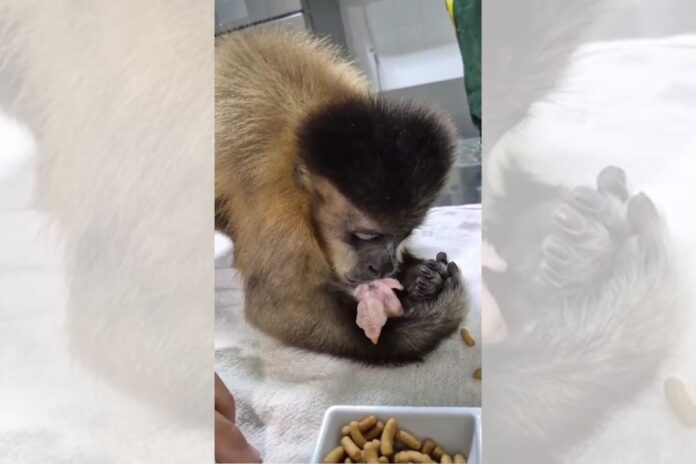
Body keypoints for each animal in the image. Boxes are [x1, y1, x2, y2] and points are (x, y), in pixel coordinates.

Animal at [215, 28, 467, 364]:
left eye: (402, 235)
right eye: (364, 235)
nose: (383, 267)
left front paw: (420, 277)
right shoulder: (277, 201)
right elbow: (279, 307)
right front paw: (418, 325)